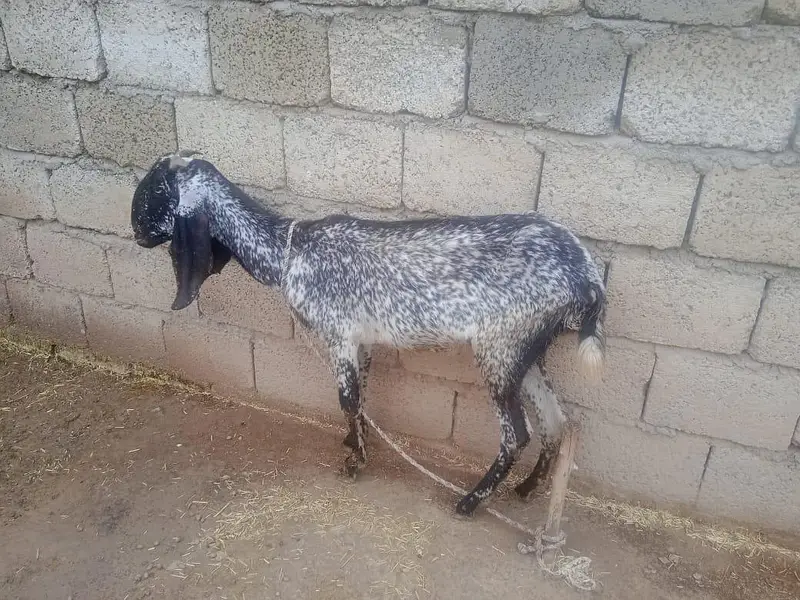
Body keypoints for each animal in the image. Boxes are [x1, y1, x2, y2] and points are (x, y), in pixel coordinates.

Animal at [131, 154, 607, 516]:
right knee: (556, 421)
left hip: (500, 347)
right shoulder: (361, 341)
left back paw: (470, 502)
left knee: (516, 434)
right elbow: (361, 396)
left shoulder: (338, 335)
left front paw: (354, 463)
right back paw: (526, 490)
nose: (135, 233)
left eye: (152, 195)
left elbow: (346, 398)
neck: (287, 252)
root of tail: (586, 276)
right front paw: (354, 441)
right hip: (527, 349)